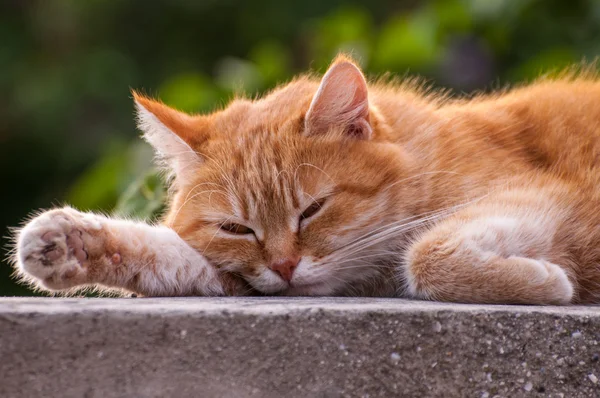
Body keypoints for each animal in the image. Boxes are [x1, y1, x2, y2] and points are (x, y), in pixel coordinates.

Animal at [11, 55, 600, 304]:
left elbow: (426, 255)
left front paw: (548, 283)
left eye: (312, 210)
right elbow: (169, 255)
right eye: (236, 229)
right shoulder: (238, 275)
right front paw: (71, 243)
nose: (286, 267)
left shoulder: (542, 195)